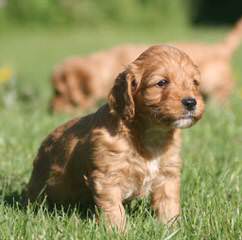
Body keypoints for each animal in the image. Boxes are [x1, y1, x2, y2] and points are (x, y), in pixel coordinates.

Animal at [27, 45, 205, 231]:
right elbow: (113, 208)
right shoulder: (107, 177)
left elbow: (168, 204)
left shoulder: (167, 175)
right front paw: (117, 231)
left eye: (194, 83)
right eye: (161, 82)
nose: (191, 102)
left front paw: (172, 228)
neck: (150, 135)